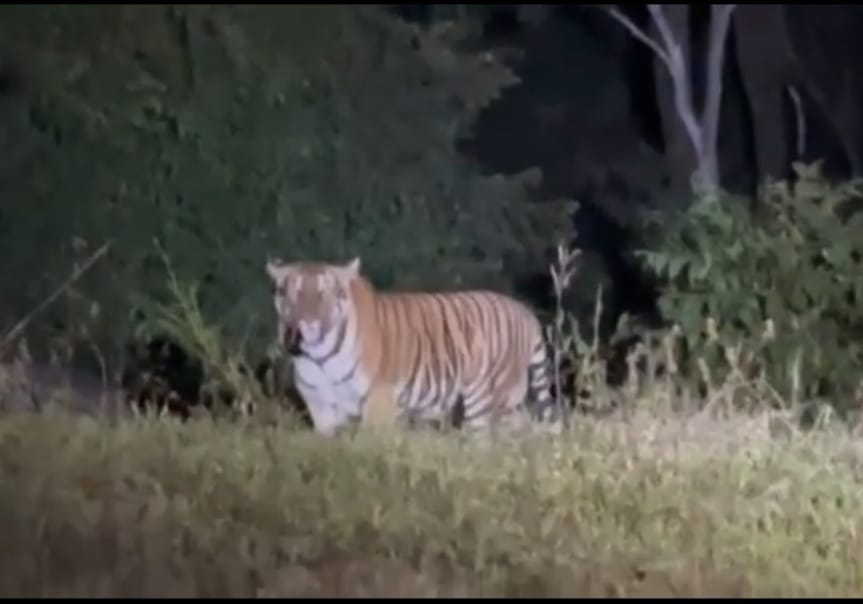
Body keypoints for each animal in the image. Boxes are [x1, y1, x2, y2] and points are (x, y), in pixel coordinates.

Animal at [265, 256, 558, 436]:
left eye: (326, 292)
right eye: (291, 291)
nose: (309, 319)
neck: (319, 355)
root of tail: (526, 312)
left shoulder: (379, 401)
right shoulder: (320, 405)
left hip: (489, 396)